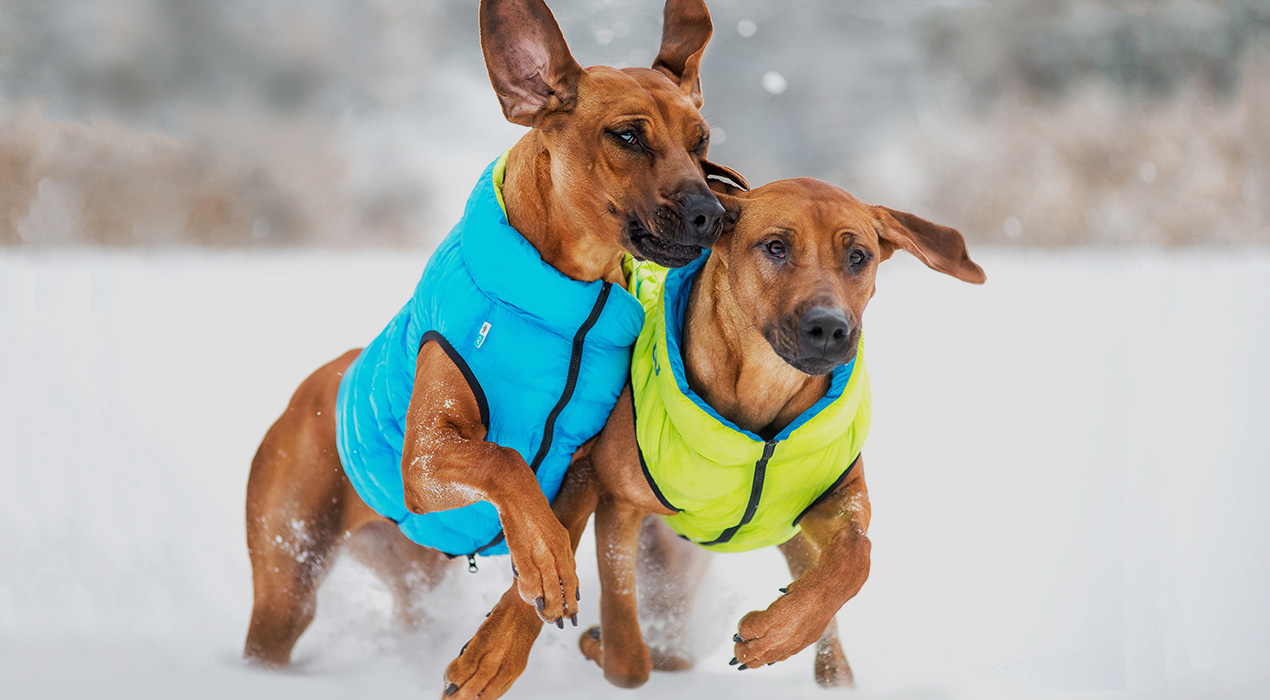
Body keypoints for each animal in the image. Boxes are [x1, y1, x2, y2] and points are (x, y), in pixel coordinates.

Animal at [242, 0, 736, 691]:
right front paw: (545, 566)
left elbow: (556, 522)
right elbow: (502, 462)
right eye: (627, 137)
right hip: (288, 572)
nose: (710, 214)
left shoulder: (588, 464)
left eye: (701, 141)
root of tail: (305, 393)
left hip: (412, 570)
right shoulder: (424, 458)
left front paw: (498, 649)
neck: (568, 308)